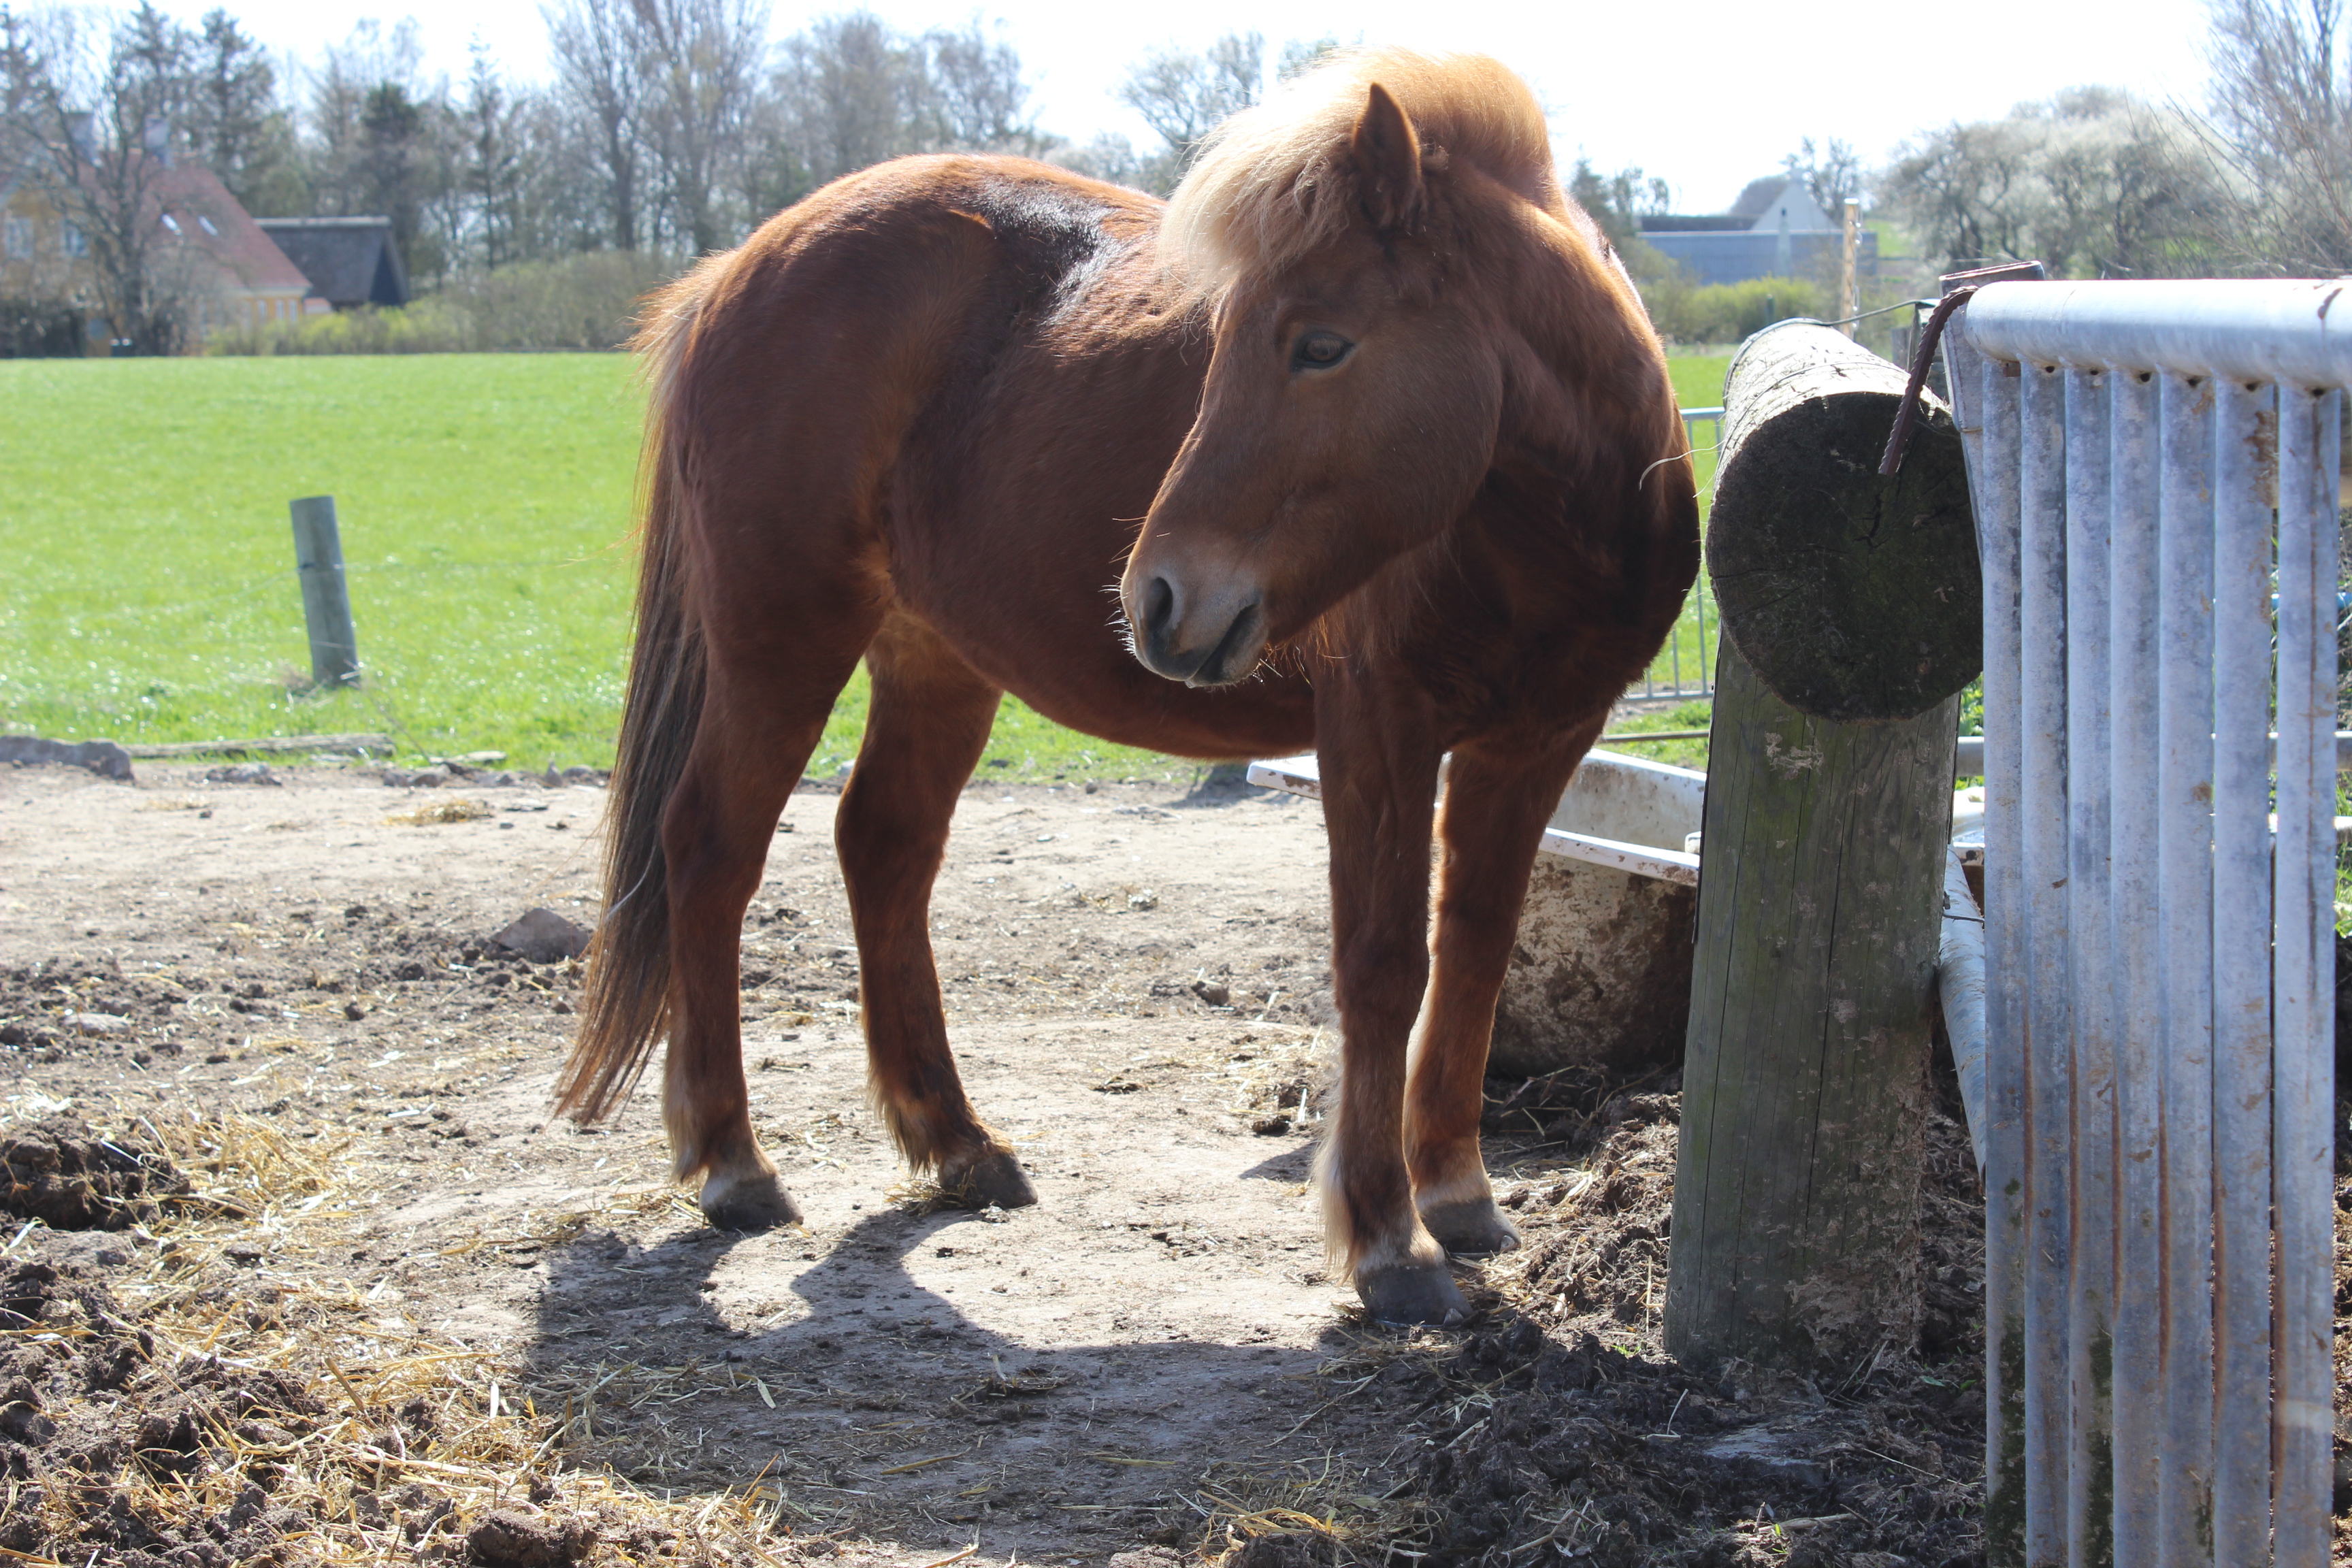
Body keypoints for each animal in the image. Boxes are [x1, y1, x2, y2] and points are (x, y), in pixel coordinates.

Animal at [550, 49, 1693, 1326]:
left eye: (1321, 344)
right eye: (1226, 339)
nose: (1159, 595)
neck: (1544, 524)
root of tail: (734, 271)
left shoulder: (1537, 744)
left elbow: (1477, 955)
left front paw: (1457, 1193)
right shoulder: (1377, 734)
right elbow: (1384, 963)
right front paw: (1387, 1240)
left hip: (934, 657)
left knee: (883, 845)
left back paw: (957, 1143)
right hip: (780, 640)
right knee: (709, 848)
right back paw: (733, 1163)